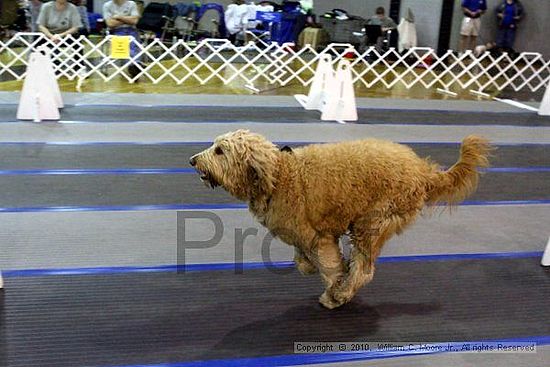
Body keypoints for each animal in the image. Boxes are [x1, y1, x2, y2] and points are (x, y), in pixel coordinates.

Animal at [192, 131, 494, 310]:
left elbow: (329, 266)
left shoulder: (319, 237)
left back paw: (340, 294)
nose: (193, 160)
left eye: (220, 150)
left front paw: (335, 286)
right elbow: (302, 260)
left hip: (372, 223)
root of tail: (423, 173)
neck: (279, 175)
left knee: (364, 269)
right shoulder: (304, 234)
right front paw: (310, 267)